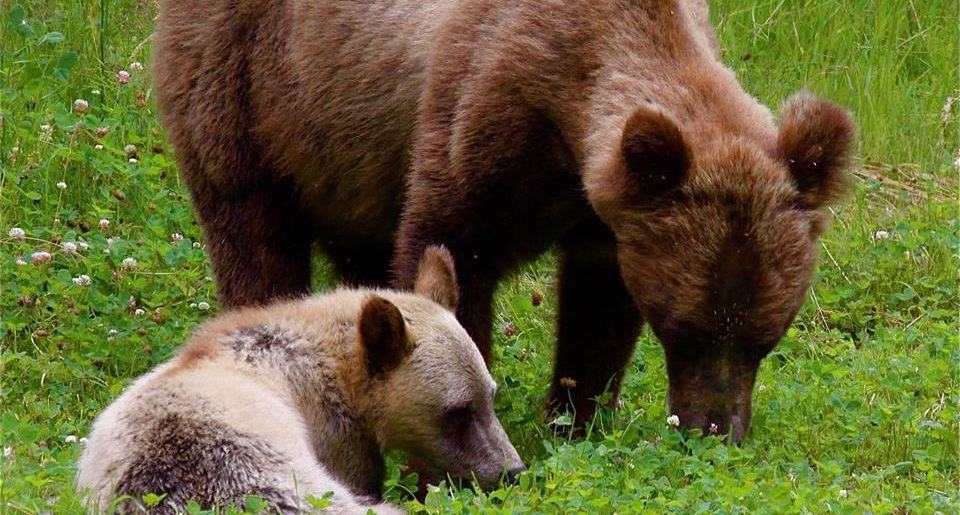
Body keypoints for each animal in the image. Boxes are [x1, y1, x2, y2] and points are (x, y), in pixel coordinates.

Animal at [154, 0, 860, 444]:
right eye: (685, 332)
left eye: (766, 338)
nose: (715, 431)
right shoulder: (483, 115)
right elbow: (451, 252)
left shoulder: (605, 215)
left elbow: (597, 313)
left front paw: (575, 421)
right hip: (254, 83)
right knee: (250, 226)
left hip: (347, 160)